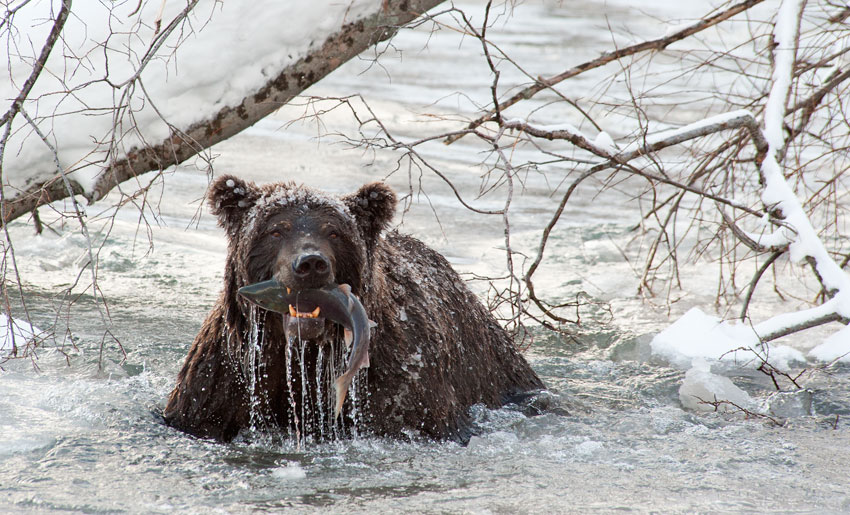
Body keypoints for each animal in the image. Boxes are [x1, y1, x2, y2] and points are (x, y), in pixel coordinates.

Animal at [162, 175, 540, 442]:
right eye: (276, 230)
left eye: (334, 232)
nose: (311, 263)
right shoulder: (227, 375)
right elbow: (202, 410)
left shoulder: (401, 377)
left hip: (493, 366)